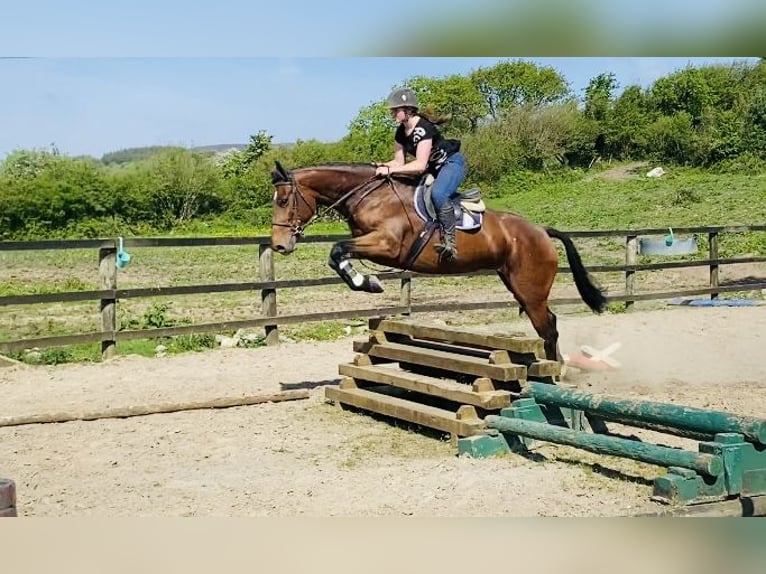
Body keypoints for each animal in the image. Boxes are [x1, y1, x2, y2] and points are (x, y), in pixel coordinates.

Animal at [270, 160, 608, 362]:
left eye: (284, 200)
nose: (278, 245)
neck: (371, 197)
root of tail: (541, 230)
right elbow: (338, 254)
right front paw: (366, 281)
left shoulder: (387, 245)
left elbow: (338, 250)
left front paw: (369, 282)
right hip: (519, 286)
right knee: (549, 324)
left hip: (531, 290)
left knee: (547, 328)